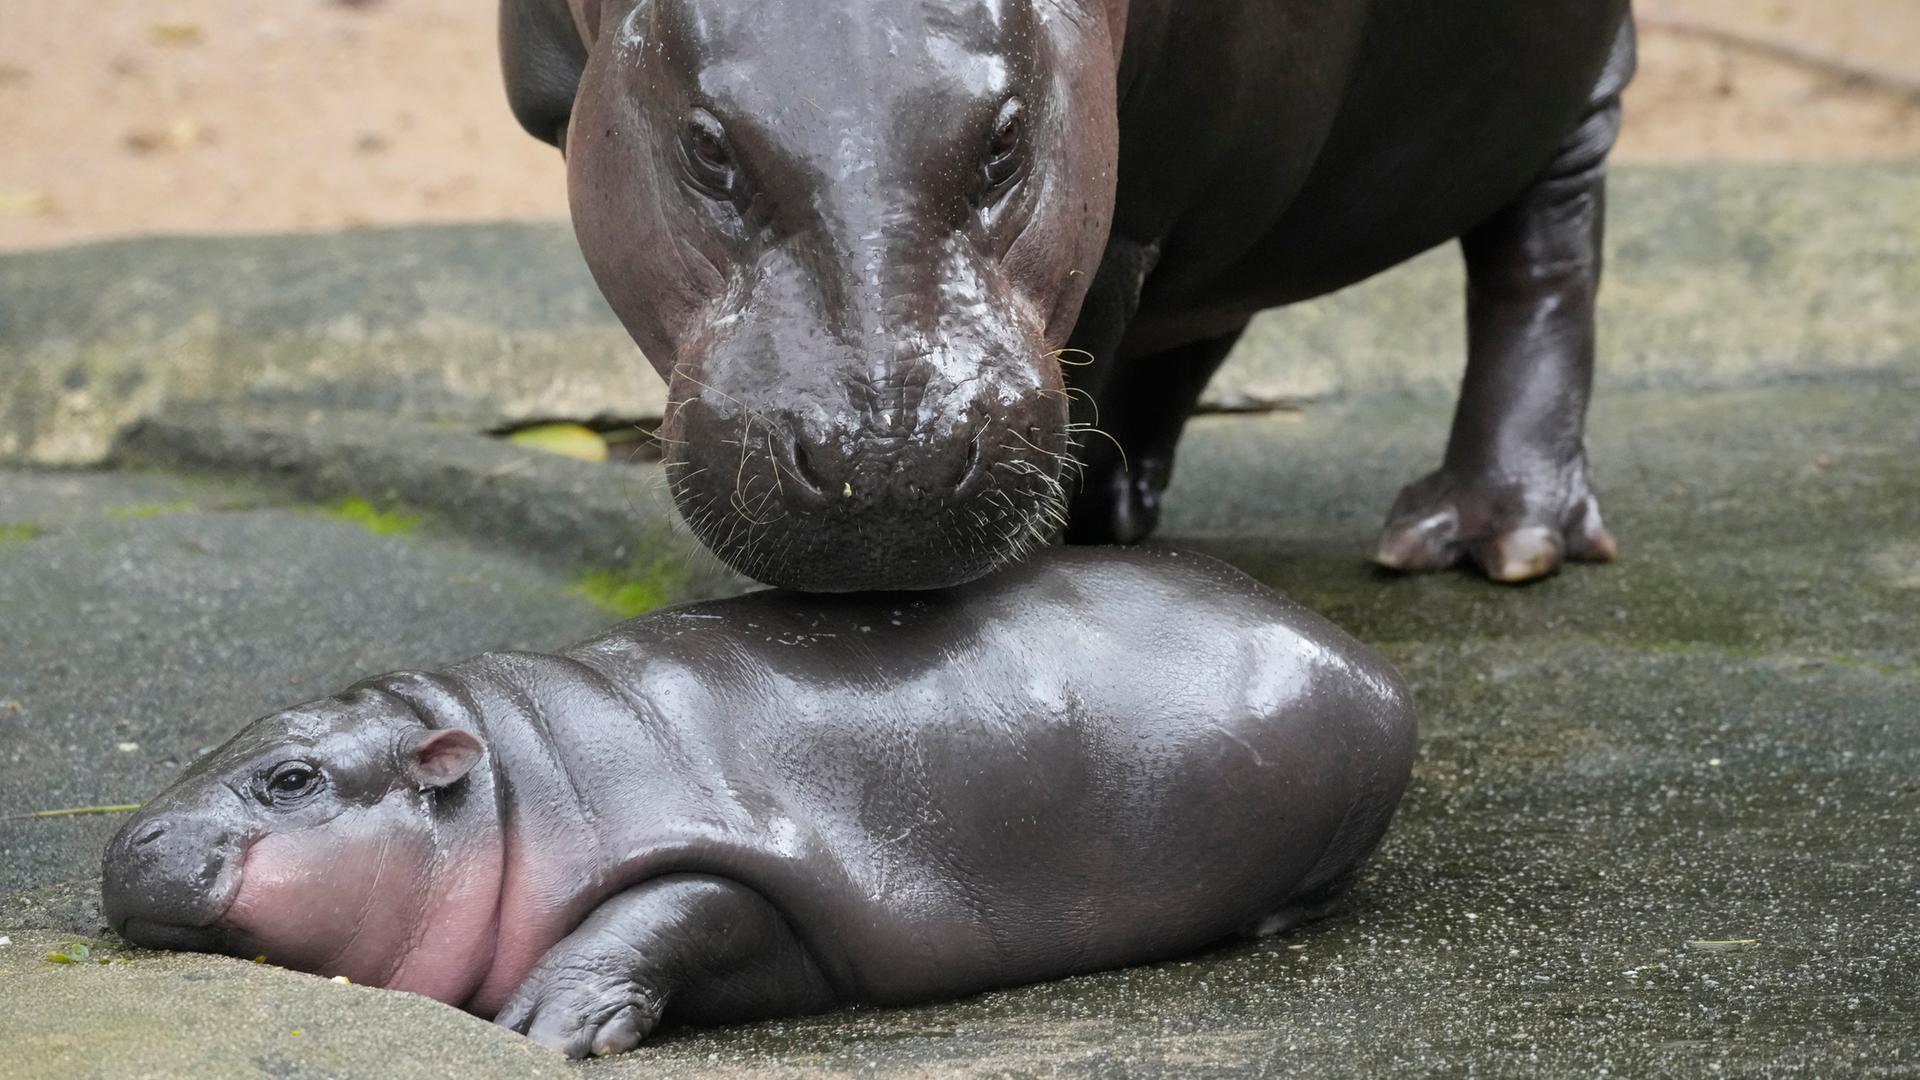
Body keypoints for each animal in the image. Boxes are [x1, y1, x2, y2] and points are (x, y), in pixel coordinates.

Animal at [103, 547, 1415, 1058]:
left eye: (292, 780)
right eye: (226, 740)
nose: (132, 841)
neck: (509, 785)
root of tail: (1370, 659)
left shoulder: (742, 857)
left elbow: (666, 912)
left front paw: (543, 1026)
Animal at [500, 0, 1633, 591]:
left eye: (1007, 137)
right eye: (706, 146)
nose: (889, 460)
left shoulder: (1128, 209)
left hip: (1571, 98)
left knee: (1543, 263)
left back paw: (1493, 539)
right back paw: (1120, 510)